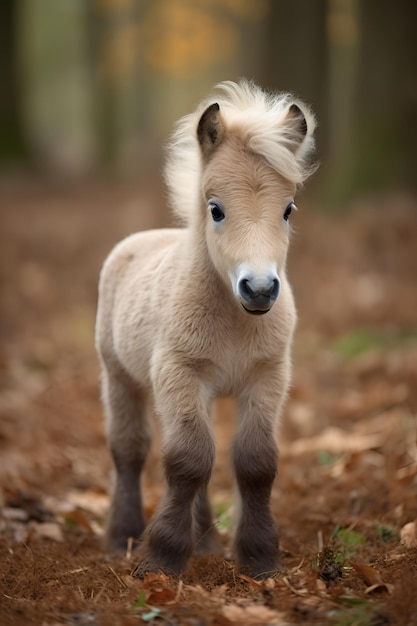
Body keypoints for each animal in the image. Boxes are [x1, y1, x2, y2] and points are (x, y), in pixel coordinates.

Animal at [95, 79, 316, 576]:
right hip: (119, 375)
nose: (259, 289)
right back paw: (122, 537)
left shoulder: (267, 376)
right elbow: (187, 460)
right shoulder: (178, 371)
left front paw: (259, 557)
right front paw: (162, 558)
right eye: (215, 209)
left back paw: (208, 543)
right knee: (130, 450)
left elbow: (255, 461)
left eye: (289, 209)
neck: (235, 321)